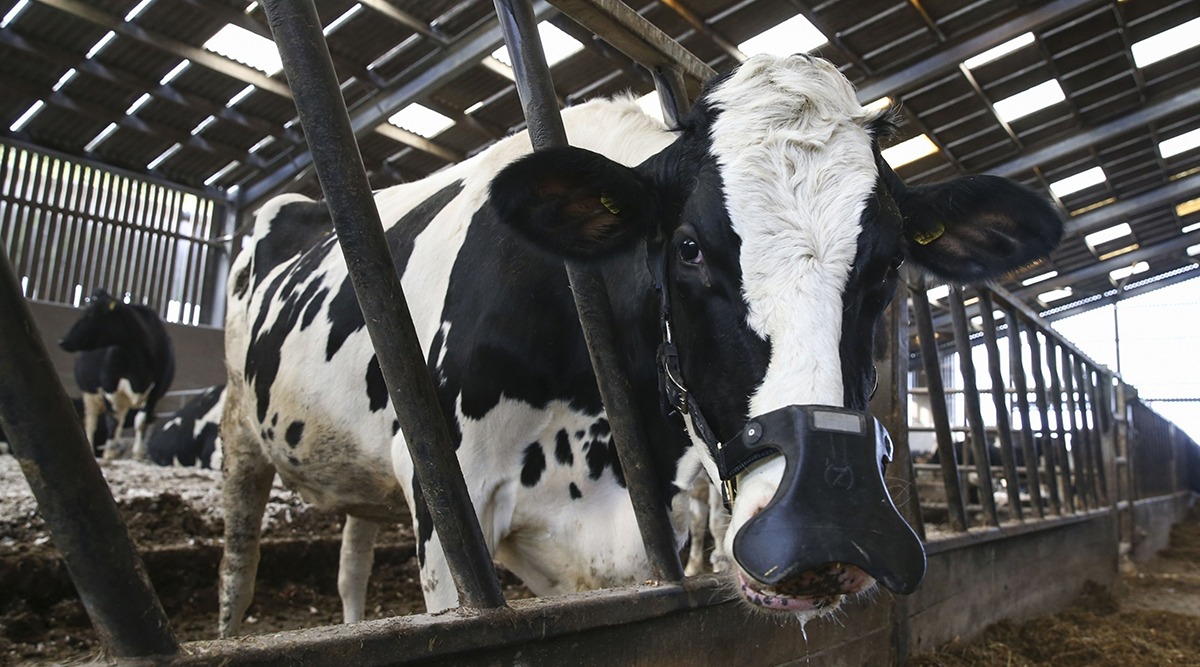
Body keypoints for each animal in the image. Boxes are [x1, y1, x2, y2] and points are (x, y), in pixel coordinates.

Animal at [59, 289, 175, 460]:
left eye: (90, 315)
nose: (62, 341)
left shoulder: (155, 391)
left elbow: (141, 420)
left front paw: (138, 452)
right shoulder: (108, 388)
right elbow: (112, 420)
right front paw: (110, 451)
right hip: (89, 393)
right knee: (92, 422)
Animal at [220, 54, 1065, 633]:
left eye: (888, 265)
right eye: (687, 247)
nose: (826, 527)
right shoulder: (445, 488)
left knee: (351, 558)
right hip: (239, 429)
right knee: (240, 557)